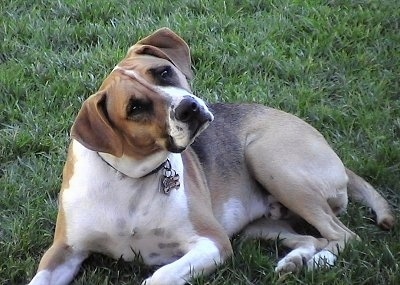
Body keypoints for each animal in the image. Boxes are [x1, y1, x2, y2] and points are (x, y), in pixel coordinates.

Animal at [28, 27, 394, 284]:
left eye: (163, 72)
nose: (189, 108)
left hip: (268, 159)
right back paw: (296, 261)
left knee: (343, 235)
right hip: (259, 225)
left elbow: (160, 275)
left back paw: (316, 262)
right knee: (311, 238)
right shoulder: (63, 252)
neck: (128, 177)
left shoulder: (211, 241)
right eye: (135, 108)